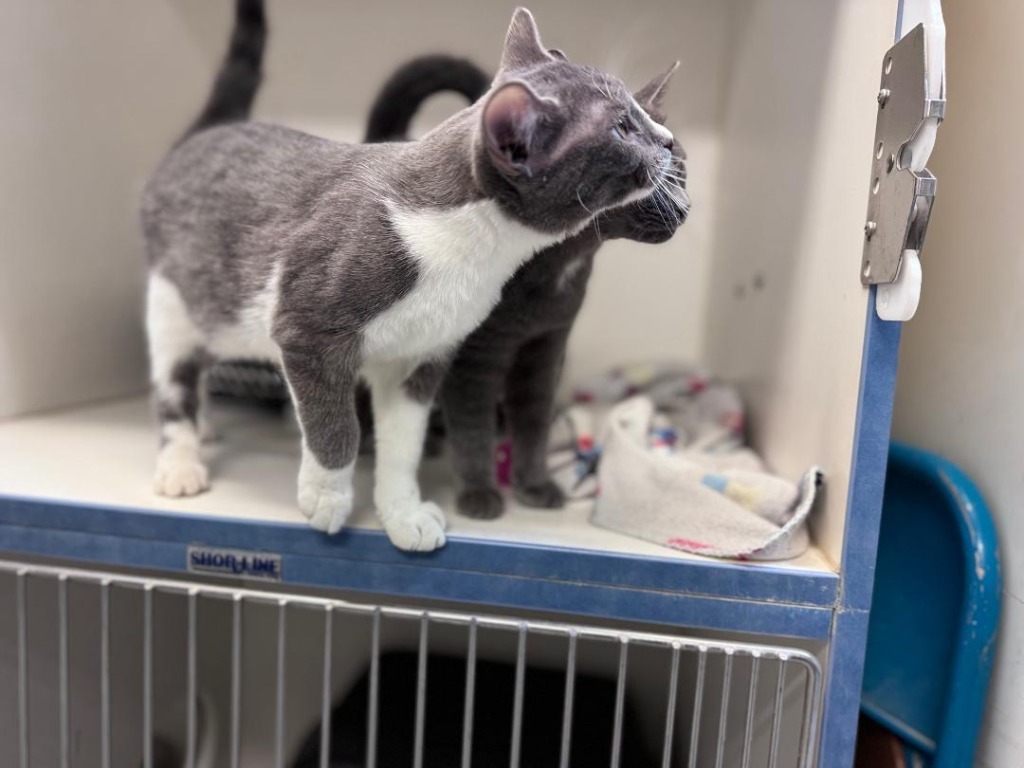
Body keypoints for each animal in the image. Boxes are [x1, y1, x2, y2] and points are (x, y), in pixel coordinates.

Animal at [362, 57, 688, 520]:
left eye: (683, 172)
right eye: (659, 180)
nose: (686, 208)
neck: (558, 268)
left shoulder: (547, 344)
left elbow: (533, 420)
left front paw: (535, 484)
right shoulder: (474, 354)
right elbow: (472, 425)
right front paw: (479, 494)